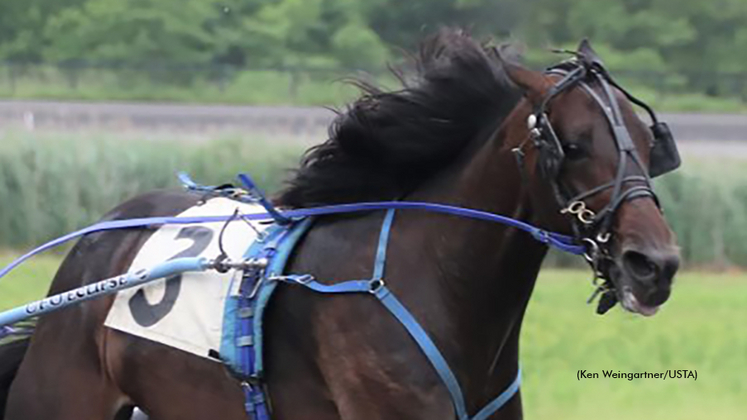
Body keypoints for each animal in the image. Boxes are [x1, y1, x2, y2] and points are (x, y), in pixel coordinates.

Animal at [0, 30, 680, 420]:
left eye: (652, 143)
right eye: (574, 144)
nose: (655, 265)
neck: (432, 280)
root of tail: (95, 240)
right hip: (60, 400)